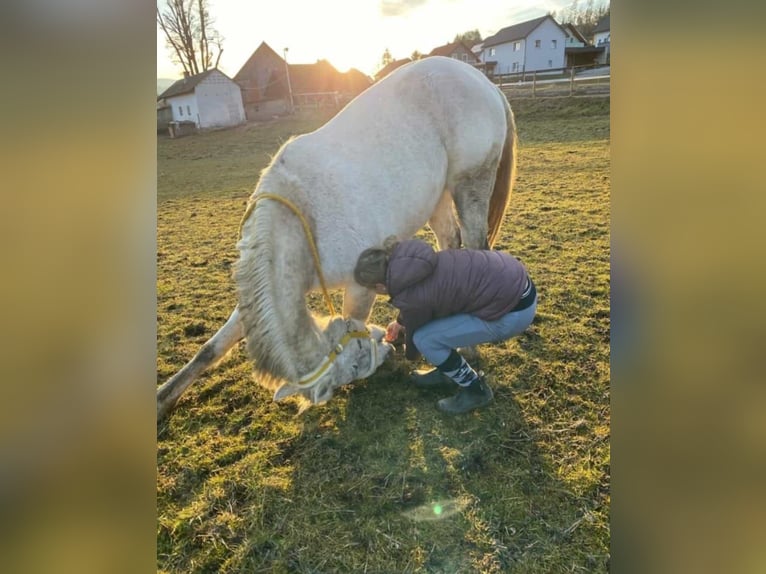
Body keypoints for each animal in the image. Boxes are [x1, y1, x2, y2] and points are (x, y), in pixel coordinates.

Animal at [156, 56, 520, 420]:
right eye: (356, 361)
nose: (386, 349)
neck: (303, 214)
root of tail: (484, 83)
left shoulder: (361, 285)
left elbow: (355, 317)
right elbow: (211, 348)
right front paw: (163, 400)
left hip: (469, 183)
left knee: (475, 246)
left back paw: (466, 344)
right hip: (437, 196)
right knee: (449, 241)